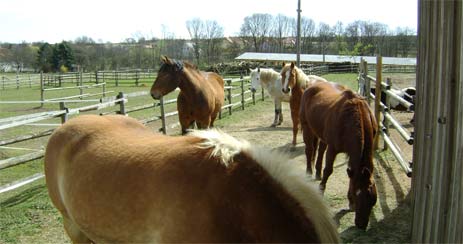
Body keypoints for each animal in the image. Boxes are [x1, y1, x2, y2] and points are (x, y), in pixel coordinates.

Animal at [300, 81, 378, 229]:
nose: (361, 225)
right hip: (307, 127)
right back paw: (308, 172)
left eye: (373, 200)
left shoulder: (351, 154)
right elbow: (328, 170)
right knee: (310, 150)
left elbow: (351, 175)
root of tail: (312, 85)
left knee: (320, 150)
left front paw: (350, 203)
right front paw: (321, 191)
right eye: (357, 194)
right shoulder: (333, 149)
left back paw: (317, 172)